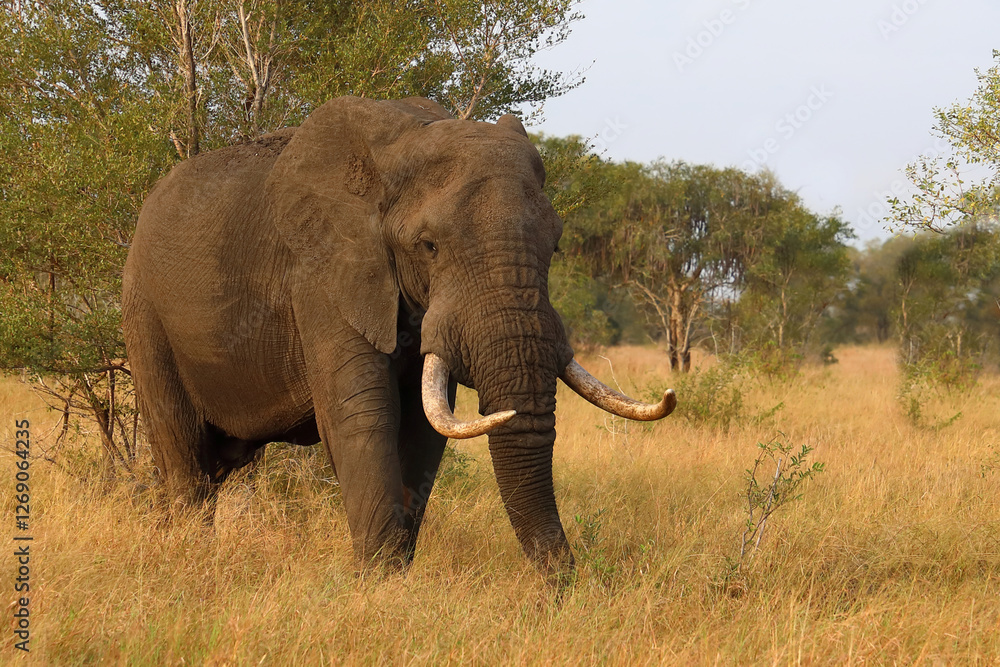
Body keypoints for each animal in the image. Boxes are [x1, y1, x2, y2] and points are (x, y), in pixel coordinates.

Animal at [122, 96, 676, 572]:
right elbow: (363, 416)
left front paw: (394, 578)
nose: (561, 589)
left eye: (557, 244)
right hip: (144, 311)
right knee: (186, 460)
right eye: (428, 246)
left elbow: (423, 428)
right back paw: (186, 556)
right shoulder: (323, 272)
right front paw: (378, 585)